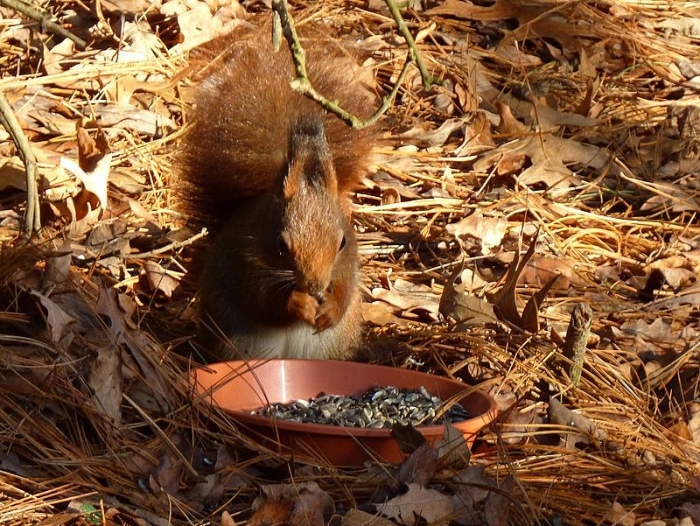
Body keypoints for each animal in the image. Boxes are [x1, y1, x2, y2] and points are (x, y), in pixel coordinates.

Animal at [176, 24, 378, 361]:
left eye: (342, 242)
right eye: (281, 246)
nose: (315, 287)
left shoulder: (349, 263)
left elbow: (347, 289)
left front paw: (330, 309)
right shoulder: (246, 266)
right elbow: (265, 302)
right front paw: (299, 304)